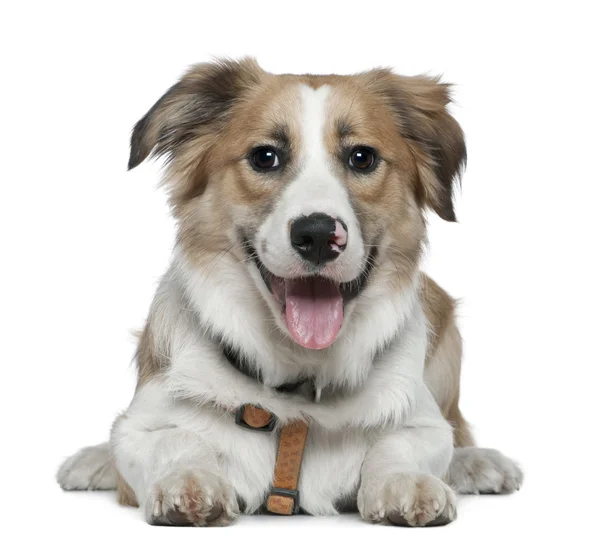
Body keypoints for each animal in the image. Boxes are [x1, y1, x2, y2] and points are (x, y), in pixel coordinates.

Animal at [58, 58, 524, 528]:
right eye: (265, 157)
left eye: (362, 157)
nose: (317, 235)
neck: (301, 376)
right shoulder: (139, 425)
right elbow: (173, 440)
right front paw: (186, 479)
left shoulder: (423, 421)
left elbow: (402, 442)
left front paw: (406, 482)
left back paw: (478, 462)